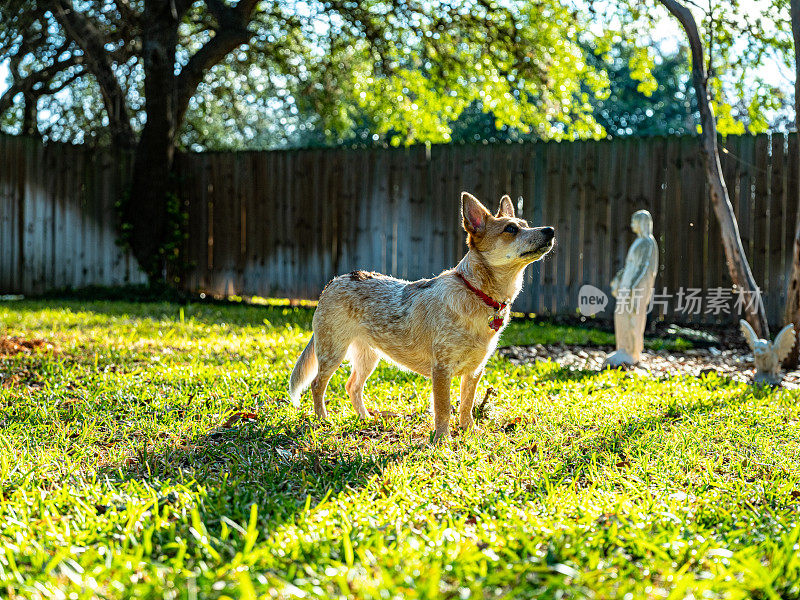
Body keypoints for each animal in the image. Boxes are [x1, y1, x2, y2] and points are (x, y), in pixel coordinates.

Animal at [290, 193, 556, 446]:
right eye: (511, 229)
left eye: (525, 224)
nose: (550, 230)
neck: (478, 294)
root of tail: (335, 280)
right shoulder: (442, 369)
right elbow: (443, 409)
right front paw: (442, 441)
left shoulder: (474, 371)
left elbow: (466, 405)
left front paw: (470, 432)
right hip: (333, 352)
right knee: (317, 384)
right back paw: (322, 419)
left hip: (368, 357)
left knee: (352, 386)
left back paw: (365, 419)